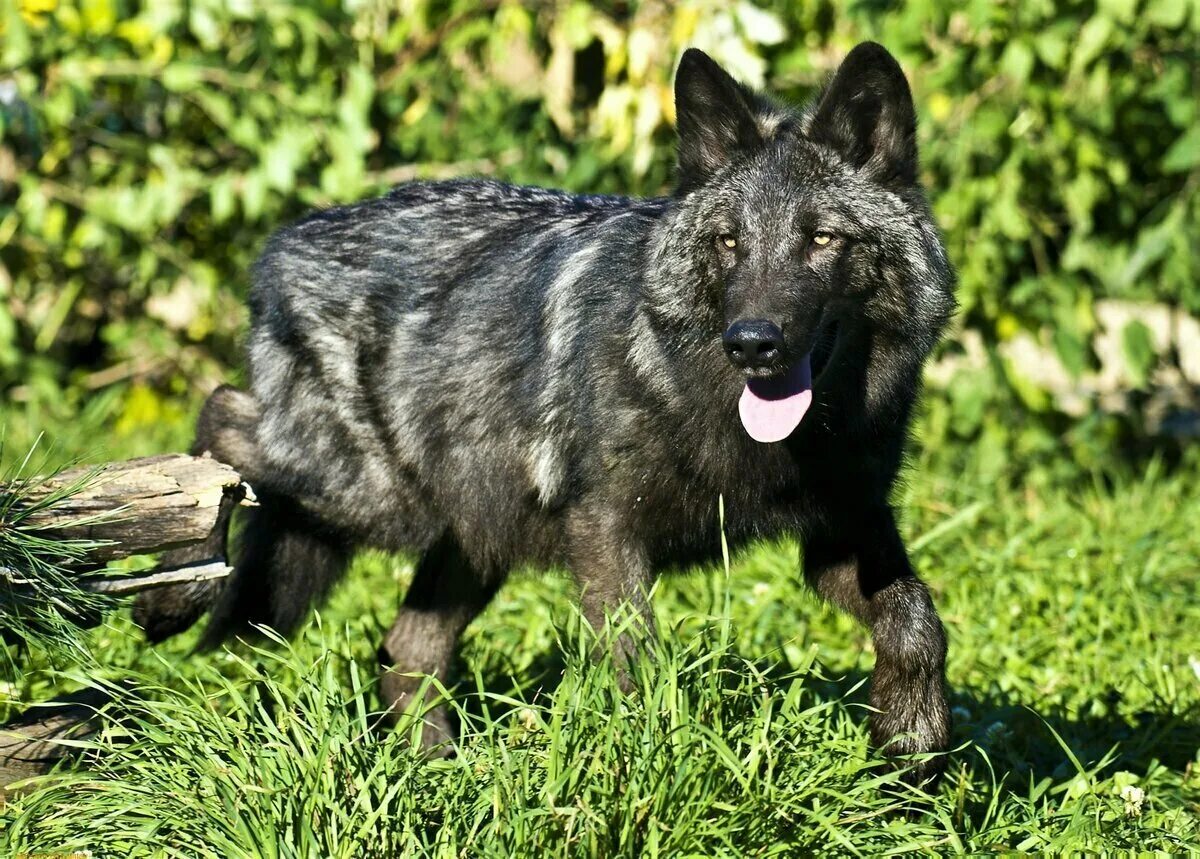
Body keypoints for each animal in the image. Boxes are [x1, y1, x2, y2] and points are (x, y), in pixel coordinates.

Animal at [136, 45, 955, 787]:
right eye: (729, 241)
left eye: (822, 238)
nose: (752, 342)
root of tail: (279, 246)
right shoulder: (605, 533)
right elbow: (638, 665)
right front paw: (651, 774)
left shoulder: (843, 526)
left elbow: (918, 622)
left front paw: (910, 749)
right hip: (372, 499)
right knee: (222, 418)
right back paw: (170, 586)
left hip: (466, 540)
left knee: (406, 652)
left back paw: (442, 777)